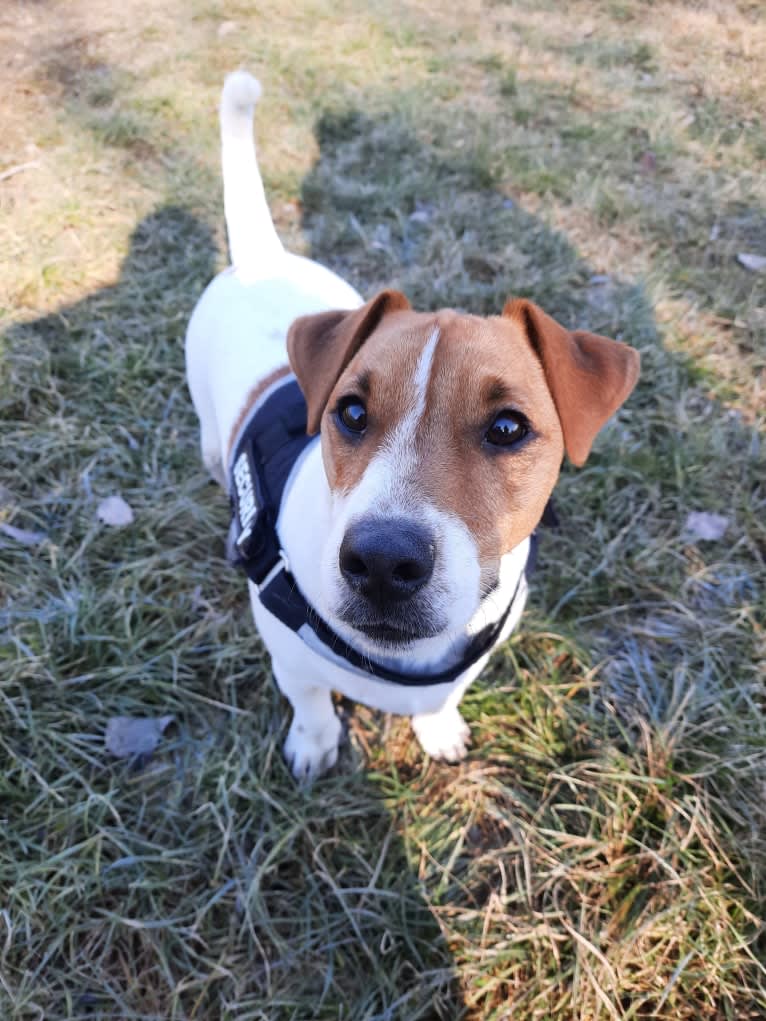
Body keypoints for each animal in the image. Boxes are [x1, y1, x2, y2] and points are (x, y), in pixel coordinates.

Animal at [187, 74, 641, 780]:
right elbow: (311, 702)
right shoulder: (288, 654)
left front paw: (439, 729)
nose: (380, 561)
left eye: (508, 428)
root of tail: (263, 258)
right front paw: (314, 745)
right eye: (350, 412)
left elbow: (444, 699)